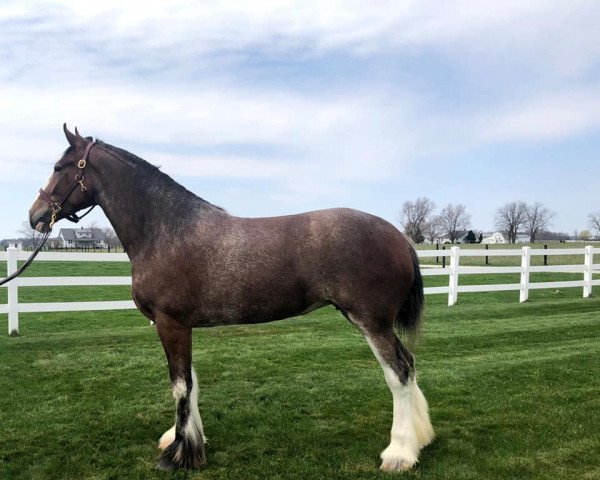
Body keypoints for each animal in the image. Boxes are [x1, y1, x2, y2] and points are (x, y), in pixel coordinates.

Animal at [28, 124, 434, 472]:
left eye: (60, 167)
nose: (35, 215)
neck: (165, 230)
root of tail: (399, 236)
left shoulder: (170, 322)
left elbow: (180, 385)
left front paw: (179, 455)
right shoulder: (181, 325)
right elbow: (190, 381)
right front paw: (183, 439)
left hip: (371, 322)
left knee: (398, 373)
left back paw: (399, 453)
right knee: (410, 365)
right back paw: (421, 440)